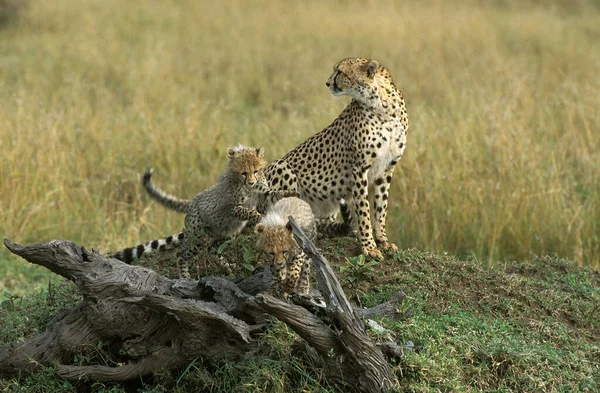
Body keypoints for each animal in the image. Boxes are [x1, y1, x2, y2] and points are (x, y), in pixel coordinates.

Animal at [266, 57, 410, 260]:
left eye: (340, 72)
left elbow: (381, 208)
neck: (383, 106)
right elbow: (363, 210)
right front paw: (369, 246)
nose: (327, 83)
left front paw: (383, 241)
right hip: (281, 167)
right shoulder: (359, 168)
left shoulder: (387, 168)